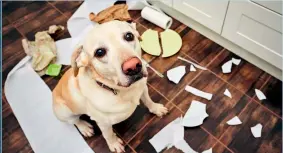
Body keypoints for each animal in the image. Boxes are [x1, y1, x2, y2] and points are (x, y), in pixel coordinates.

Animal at [52, 20, 169, 153]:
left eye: (129, 36)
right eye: (99, 52)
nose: (133, 66)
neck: (123, 90)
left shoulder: (143, 89)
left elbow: (148, 100)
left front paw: (156, 108)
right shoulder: (104, 124)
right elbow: (108, 135)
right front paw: (114, 144)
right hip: (65, 112)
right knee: (75, 121)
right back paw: (84, 127)